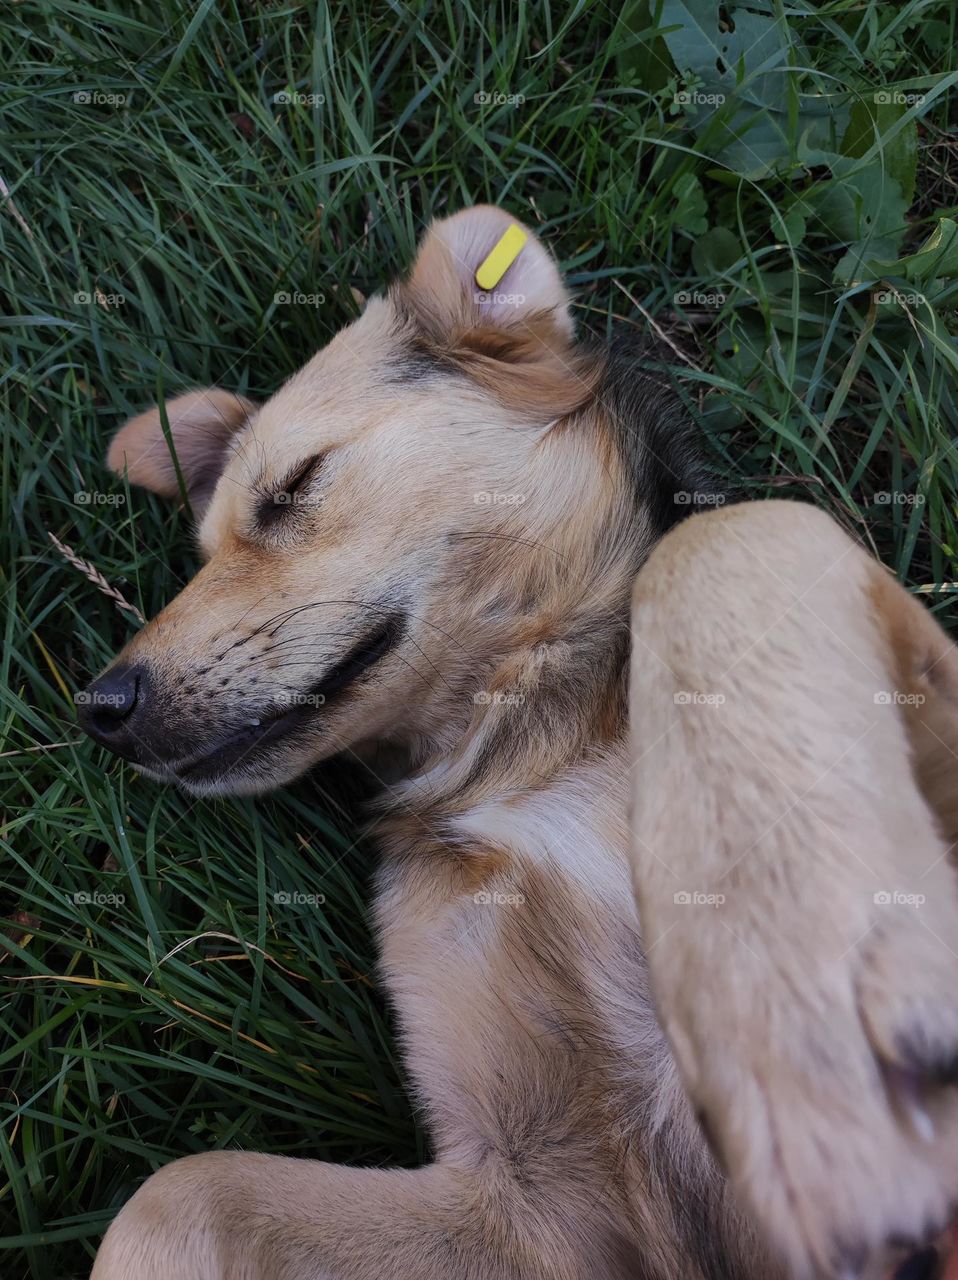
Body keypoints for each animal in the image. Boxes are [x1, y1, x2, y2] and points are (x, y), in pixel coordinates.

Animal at [80, 209, 957, 1280]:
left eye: (291, 489)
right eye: (205, 553)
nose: (100, 706)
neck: (523, 746)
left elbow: (728, 537)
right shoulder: (538, 1203)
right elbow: (173, 1193)